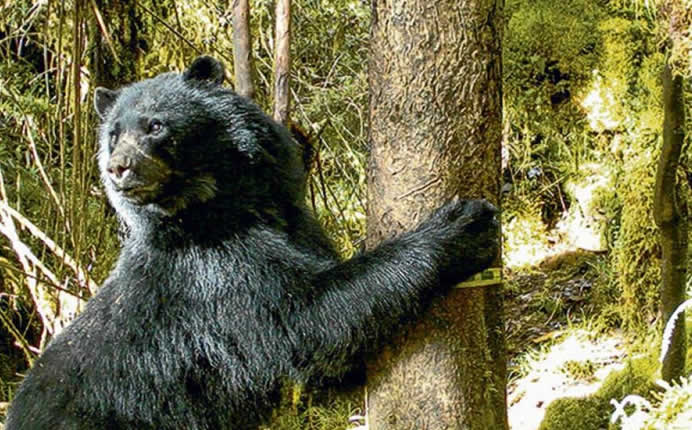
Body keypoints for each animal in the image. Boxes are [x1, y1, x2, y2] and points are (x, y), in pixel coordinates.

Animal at [4, 56, 499, 430]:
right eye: (112, 135)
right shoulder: (211, 270)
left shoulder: (294, 222)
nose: (119, 168)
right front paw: (464, 227)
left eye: (155, 126)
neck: (224, 201)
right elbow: (306, 319)